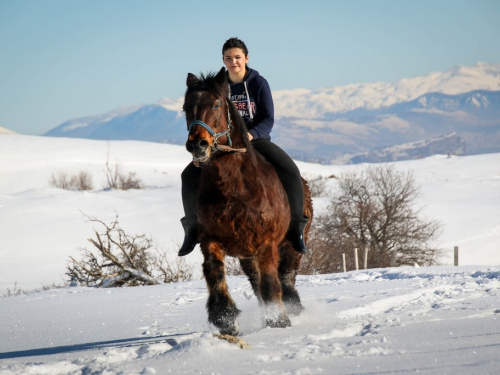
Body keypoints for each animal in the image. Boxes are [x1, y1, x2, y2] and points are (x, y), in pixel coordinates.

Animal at [180, 66, 312, 336]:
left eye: (216, 104)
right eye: (186, 107)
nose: (197, 144)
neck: (232, 188)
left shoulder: (267, 243)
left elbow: (271, 284)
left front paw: (278, 322)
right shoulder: (210, 240)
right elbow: (215, 274)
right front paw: (225, 319)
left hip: (291, 247)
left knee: (286, 278)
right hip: (246, 257)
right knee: (257, 283)